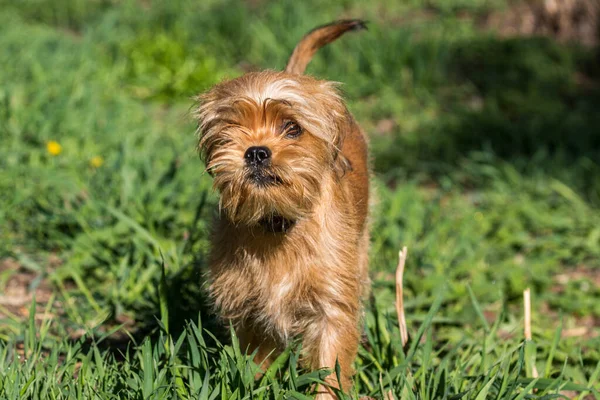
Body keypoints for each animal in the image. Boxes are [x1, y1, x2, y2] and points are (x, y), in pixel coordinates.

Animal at [195, 19, 370, 396]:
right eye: (231, 129)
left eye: (293, 128)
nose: (257, 151)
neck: (276, 224)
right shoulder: (250, 315)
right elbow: (254, 367)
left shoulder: (331, 309)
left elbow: (330, 370)